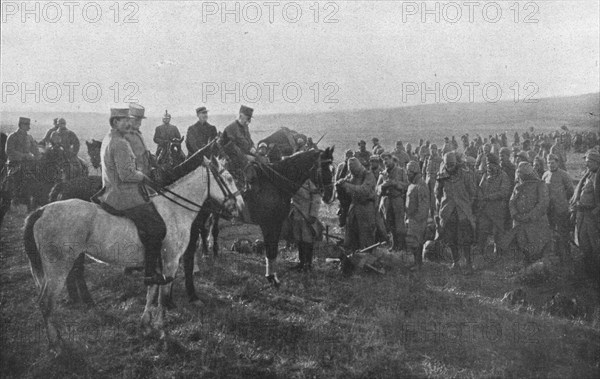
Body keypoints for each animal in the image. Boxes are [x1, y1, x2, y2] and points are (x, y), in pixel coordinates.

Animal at [22, 151, 244, 354]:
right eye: (229, 178)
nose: (240, 207)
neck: (174, 210)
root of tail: (41, 211)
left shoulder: (155, 263)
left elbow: (151, 292)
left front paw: (146, 325)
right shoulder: (170, 261)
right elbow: (163, 296)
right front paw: (162, 331)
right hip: (58, 267)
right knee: (46, 302)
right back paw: (56, 345)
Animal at [183, 142, 336, 302]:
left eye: (333, 169)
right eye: (325, 168)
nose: (330, 196)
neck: (276, 183)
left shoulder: (277, 223)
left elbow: (273, 250)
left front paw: (273, 277)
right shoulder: (267, 225)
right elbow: (270, 250)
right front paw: (271, 278)